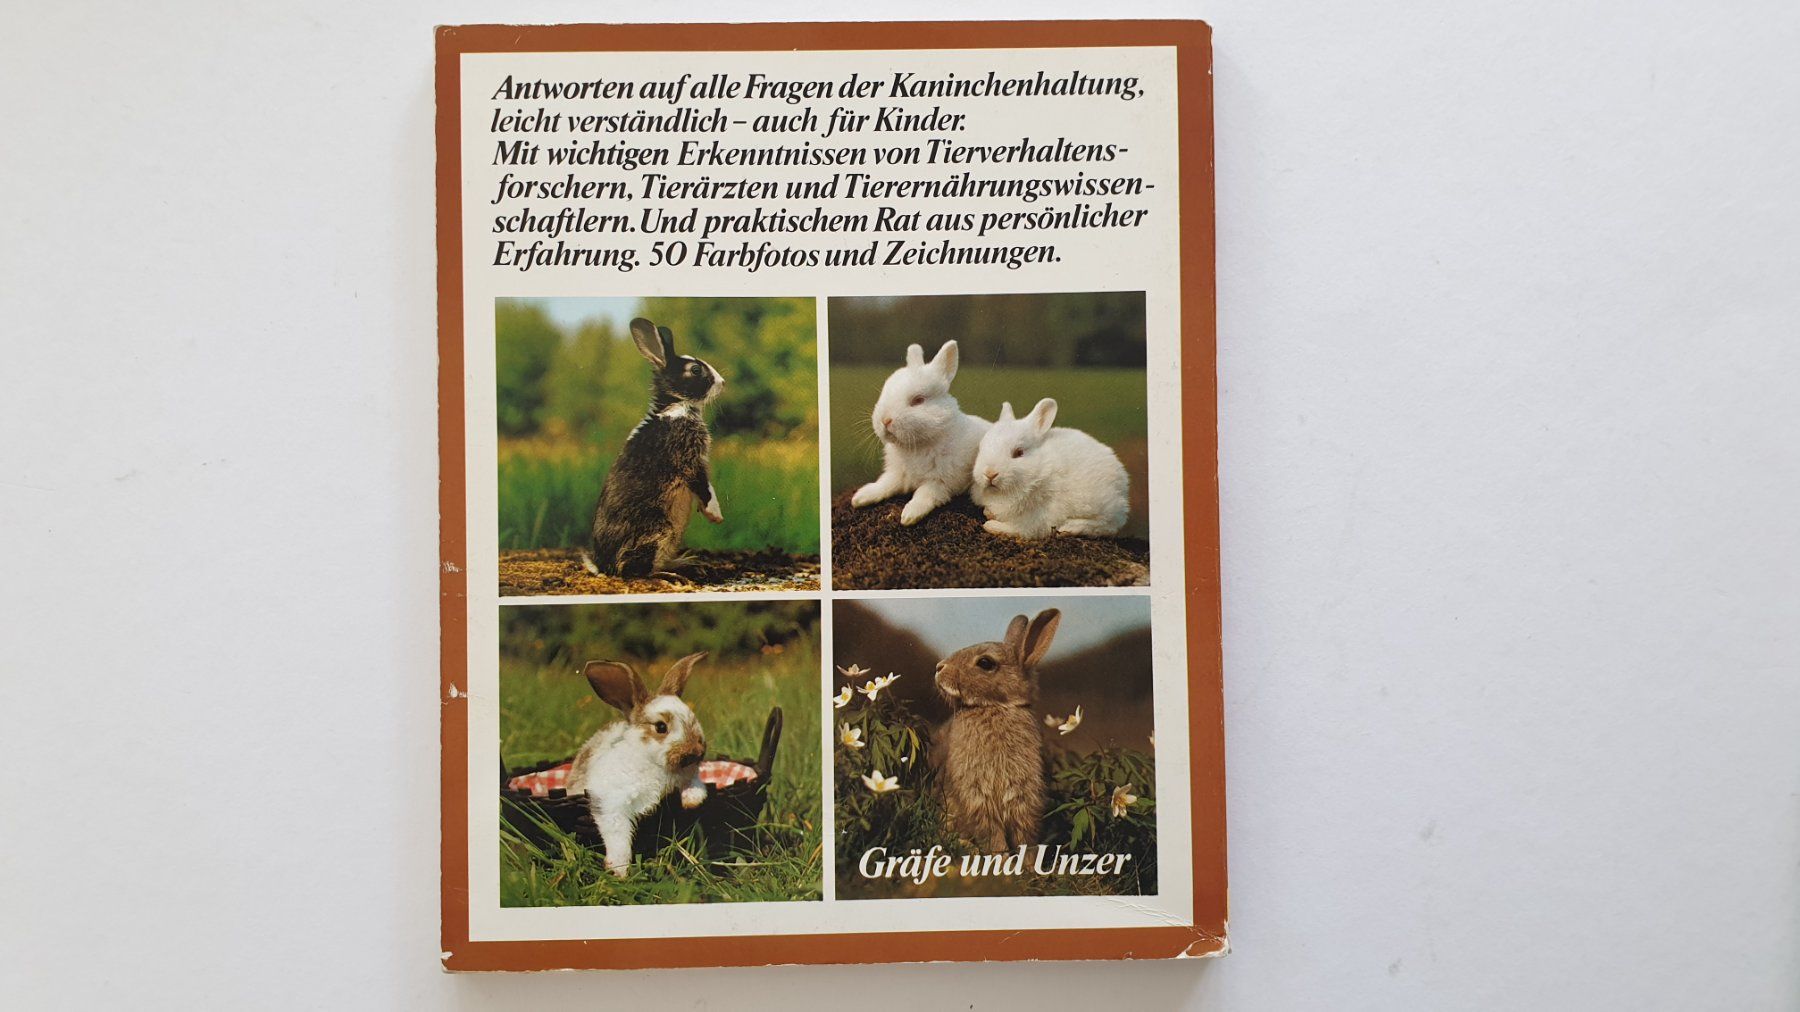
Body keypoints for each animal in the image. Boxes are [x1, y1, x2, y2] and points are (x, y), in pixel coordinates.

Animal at [566, 652, 710, 876]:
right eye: (661, 727)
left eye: (694, 718)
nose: (696, 751)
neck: (654, 765)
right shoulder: (610, 803)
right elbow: (618, 837)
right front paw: (619, 870)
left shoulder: (689, 776)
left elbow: (696, 784)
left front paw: (691, 801)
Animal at [585, 317, 725, 577]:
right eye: (696, 370)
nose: (722, 382)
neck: (675, 406)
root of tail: (602, 566)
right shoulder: (687, 459)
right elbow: (703, 486)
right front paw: (715, 514)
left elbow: (708, 483)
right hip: (657, 530)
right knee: (633, 570)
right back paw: (669, 574)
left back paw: (683, 562)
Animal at [849, 340, 990, 525]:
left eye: (918, 400)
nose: (885, 420)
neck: (917, 445)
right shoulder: (897, 473)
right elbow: (885, 483)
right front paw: (861, 497)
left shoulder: (941, 481)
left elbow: (924, 494)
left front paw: (909, 515)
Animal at [932, 609, 1060, 852]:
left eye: (985, 662)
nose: (939, 668)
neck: (995, 707)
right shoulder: (976, 794)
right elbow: (992, 834)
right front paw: (1000, 857)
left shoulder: (1023, 794)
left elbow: (1023, 836)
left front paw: (1025, 861)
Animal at [970, 398, 1129, 539]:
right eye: (981, 448)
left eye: (1019, 453)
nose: (990, 473)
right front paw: (988, 512)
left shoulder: (1040, 515)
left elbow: (1023, 529)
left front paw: (992, 526)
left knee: (1108, 527)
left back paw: (1069, 528)